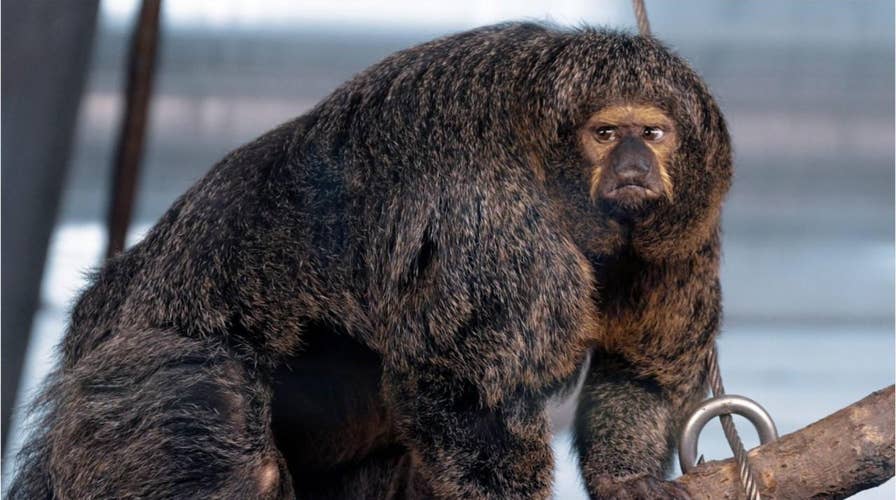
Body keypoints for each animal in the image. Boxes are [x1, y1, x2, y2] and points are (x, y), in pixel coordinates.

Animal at [9, 22, 731, 499]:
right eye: (606, 134)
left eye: (654, 134)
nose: (634, 167)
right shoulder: (491, 220)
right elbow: (463, 384)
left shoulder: (685, 241)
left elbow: (641, 371)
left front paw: (626, 480)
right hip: (128, 386)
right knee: (216, 430)